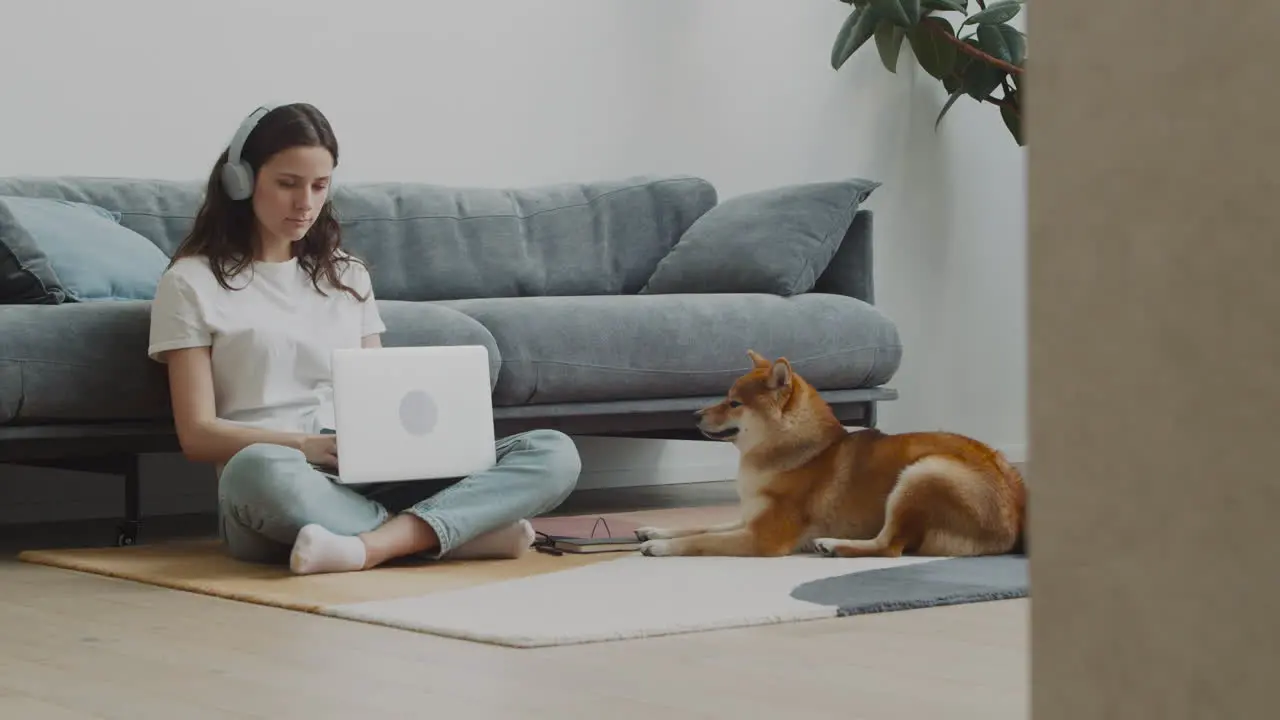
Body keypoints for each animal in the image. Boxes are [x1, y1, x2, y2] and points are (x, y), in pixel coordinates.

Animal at [637, 351, 1029, 558]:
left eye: (734, 403)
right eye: (725, 397)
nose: (694, 415)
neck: (799, 453)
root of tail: (1015, 516)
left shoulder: (764, 537)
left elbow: (702, 539)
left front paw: (662, 547)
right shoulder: (749, 518)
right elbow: (701, 524)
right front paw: (656, 530)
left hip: (922, 474)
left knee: (889, 547)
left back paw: (834, 544)